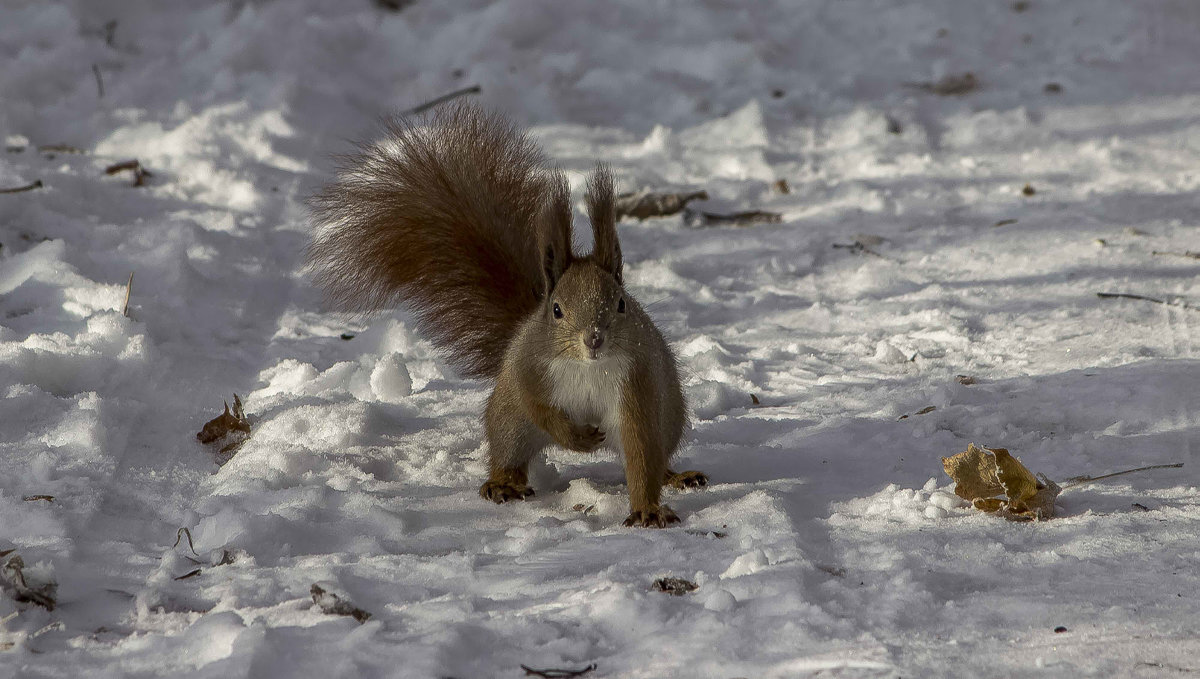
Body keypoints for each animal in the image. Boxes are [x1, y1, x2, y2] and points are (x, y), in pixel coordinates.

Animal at [304, 103, 705, 530]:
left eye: (621, 304)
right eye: (557, 310)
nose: (594, 338)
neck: (587, 366)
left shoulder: (637, 386)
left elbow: (641, 455)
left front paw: (647, 509)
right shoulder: (529, 366)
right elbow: (538, 405)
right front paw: (575, 439)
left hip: (670, 416)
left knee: (657, 457)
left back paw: (676, 475)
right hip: (507, 419)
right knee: (510, 450)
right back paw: (504, 483)